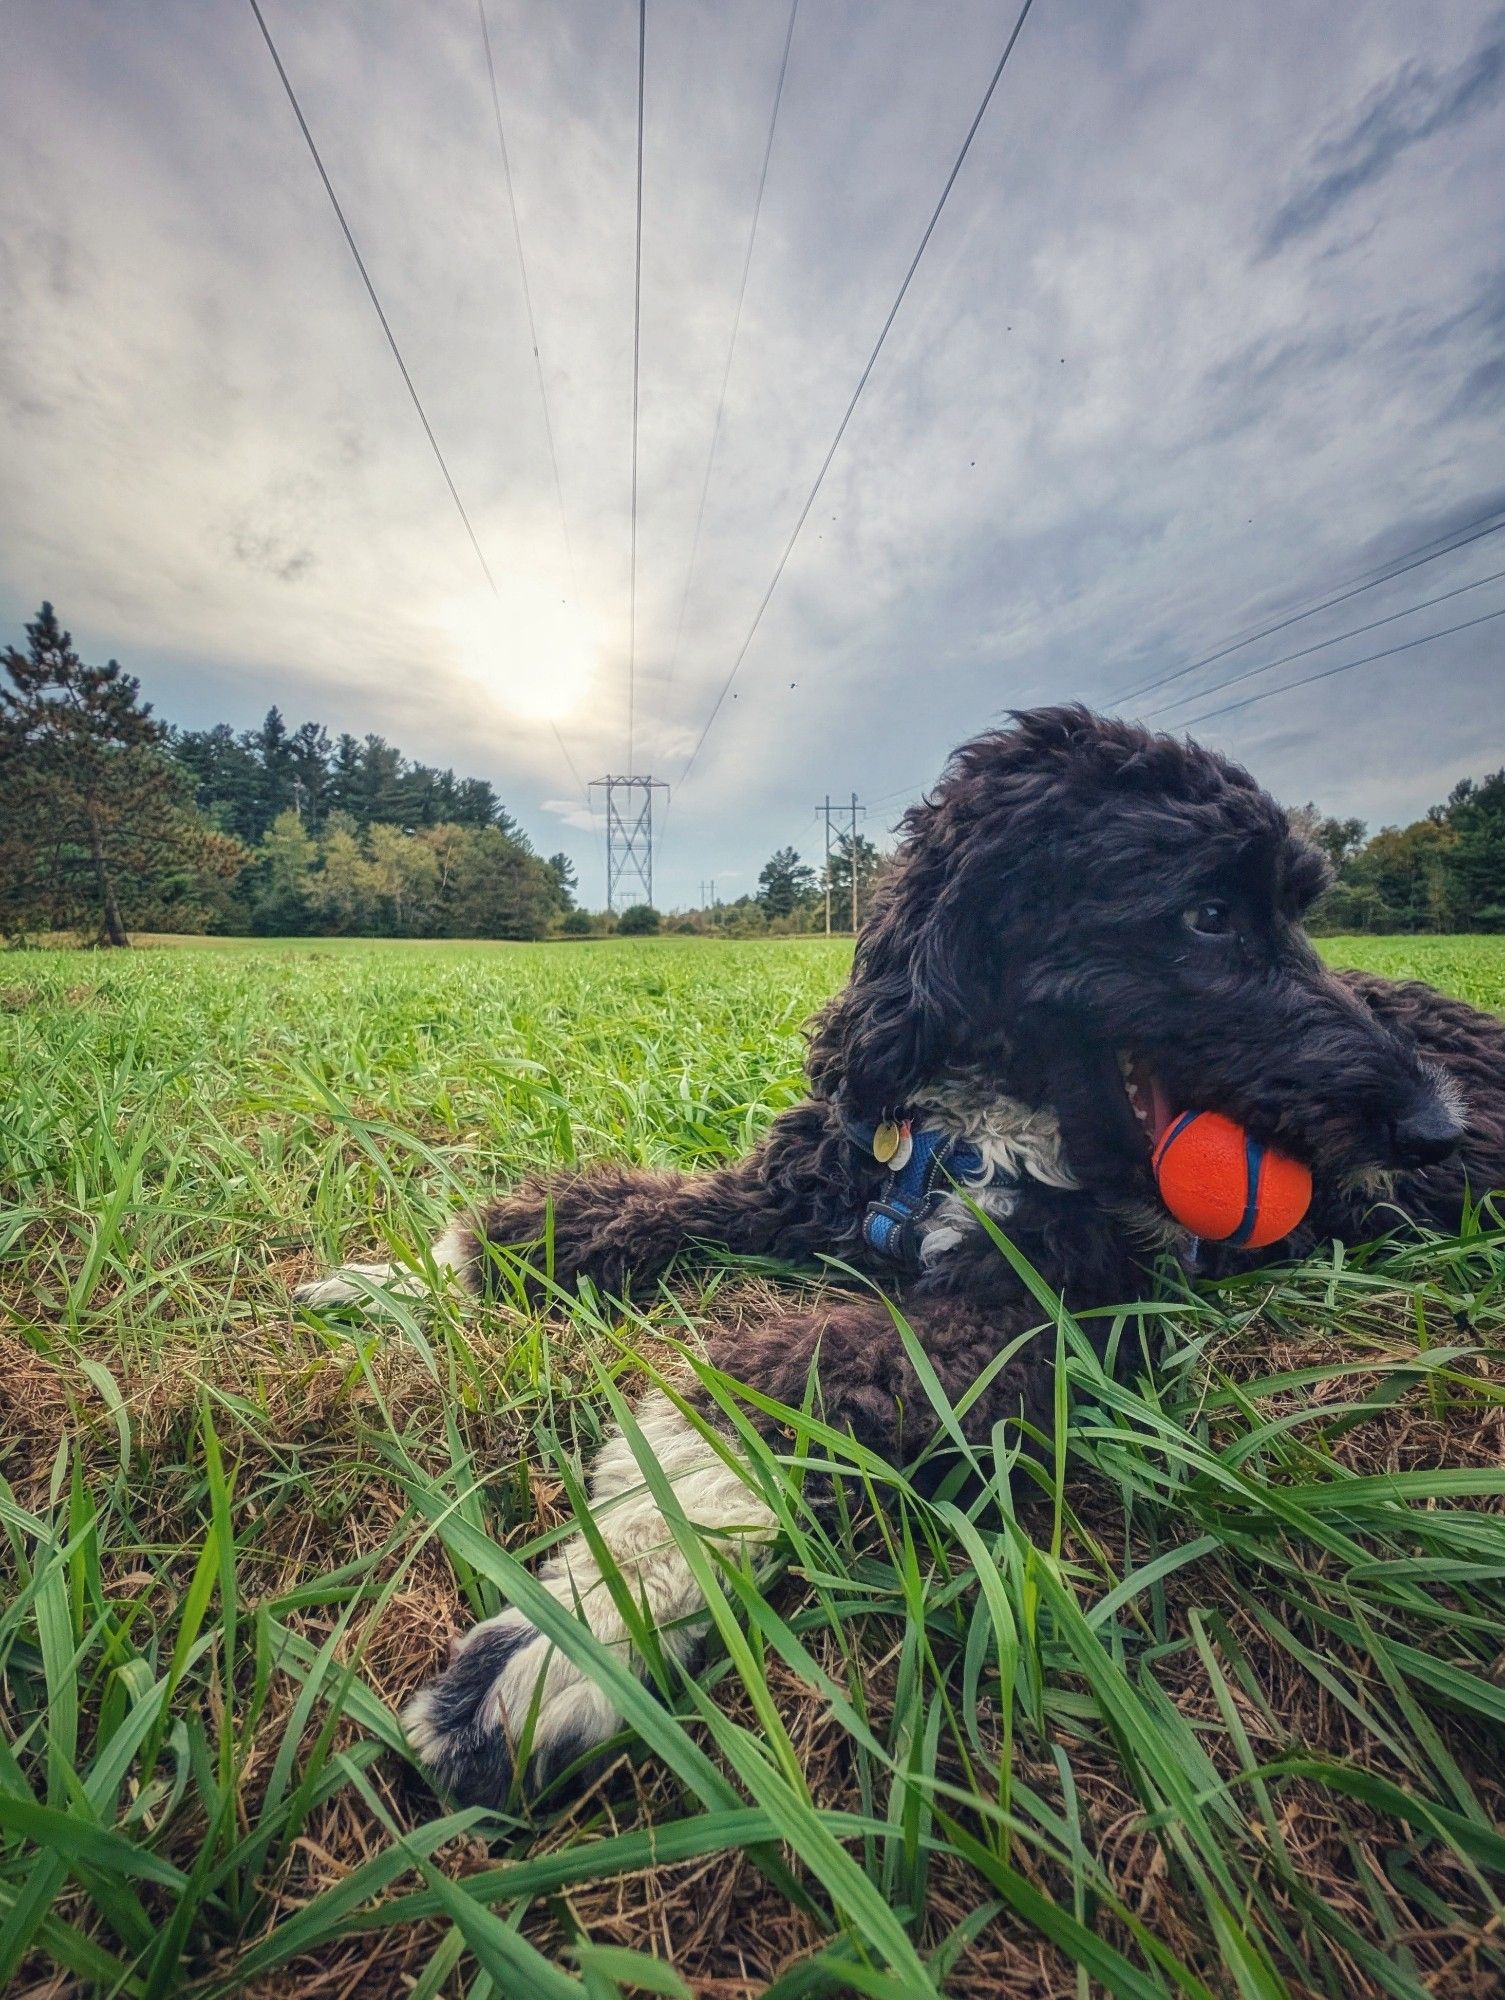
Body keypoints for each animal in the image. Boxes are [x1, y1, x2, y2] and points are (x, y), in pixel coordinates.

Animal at [296, 712, 1505, 1808]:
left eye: (1295, 912)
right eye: (1209, 916)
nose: (1432, 1126)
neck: (971, 1135)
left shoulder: (1029, 1315)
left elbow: (783, 1386)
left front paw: (585, 1627)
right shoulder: (786, 1189)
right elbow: (602, 1211)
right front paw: (408, 1279)